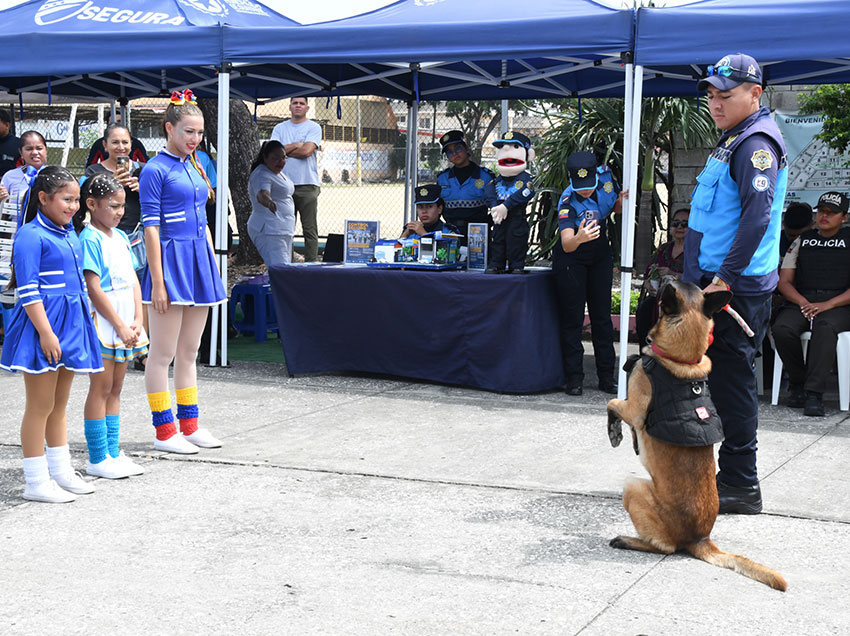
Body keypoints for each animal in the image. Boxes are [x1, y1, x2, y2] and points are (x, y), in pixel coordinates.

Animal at [606, 280, 787, 591]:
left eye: (668, 287)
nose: (662, 278)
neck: (682, 360)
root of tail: (700, 539)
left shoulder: (634, 409)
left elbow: (613, 403)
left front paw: (615, 430)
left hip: (633, 488)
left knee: (666, 548)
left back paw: (629, 541)